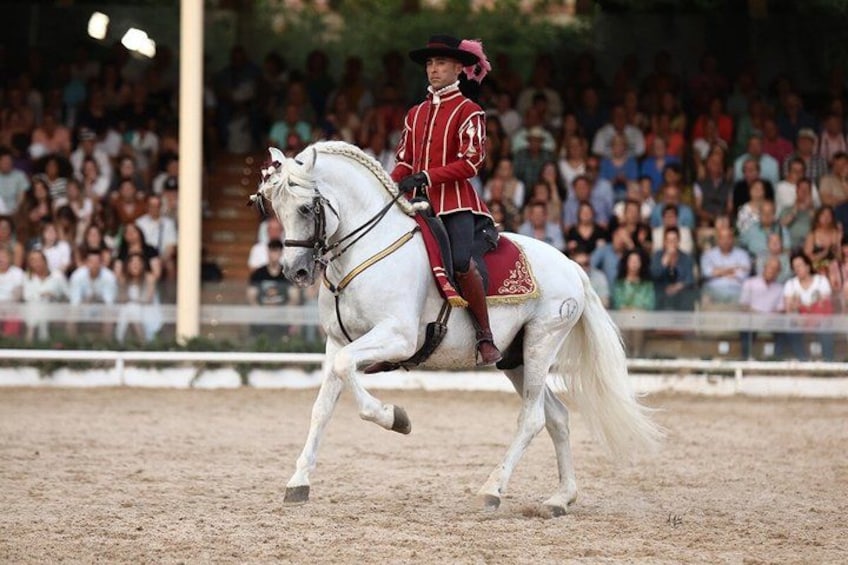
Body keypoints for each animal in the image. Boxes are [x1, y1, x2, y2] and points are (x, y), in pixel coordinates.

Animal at [253, 141, 663, 515]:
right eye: (275, 208)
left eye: (305, 208)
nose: (295, 271)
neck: (367, 250)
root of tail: (573, 266)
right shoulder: (338, 342)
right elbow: (322, 407)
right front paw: (298, 481)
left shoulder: (397, 338)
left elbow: (351, 380)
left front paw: (395, 418)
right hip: (515, 359)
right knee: (557, 417)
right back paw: (560, 498)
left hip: (541, 343)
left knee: (531, 419)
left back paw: (492, 489)